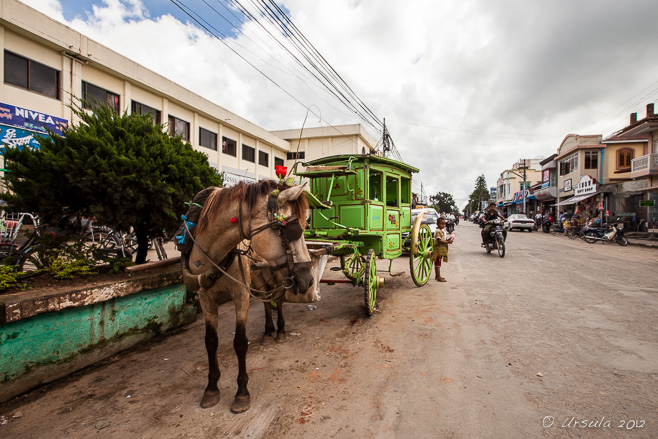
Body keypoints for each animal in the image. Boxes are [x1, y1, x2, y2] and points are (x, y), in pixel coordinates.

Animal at [178, 180, 314, 414]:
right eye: (293, 230)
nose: (309, 280)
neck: (215, 254)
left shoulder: (241, 295)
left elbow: (240, 342)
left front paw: (241, 393)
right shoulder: (205, 297)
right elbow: (210, 341)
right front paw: (211, 388)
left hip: (279, 273)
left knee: (278, 299)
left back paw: (280, 330)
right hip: (260, 276)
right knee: (268, 302)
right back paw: (268, 331)